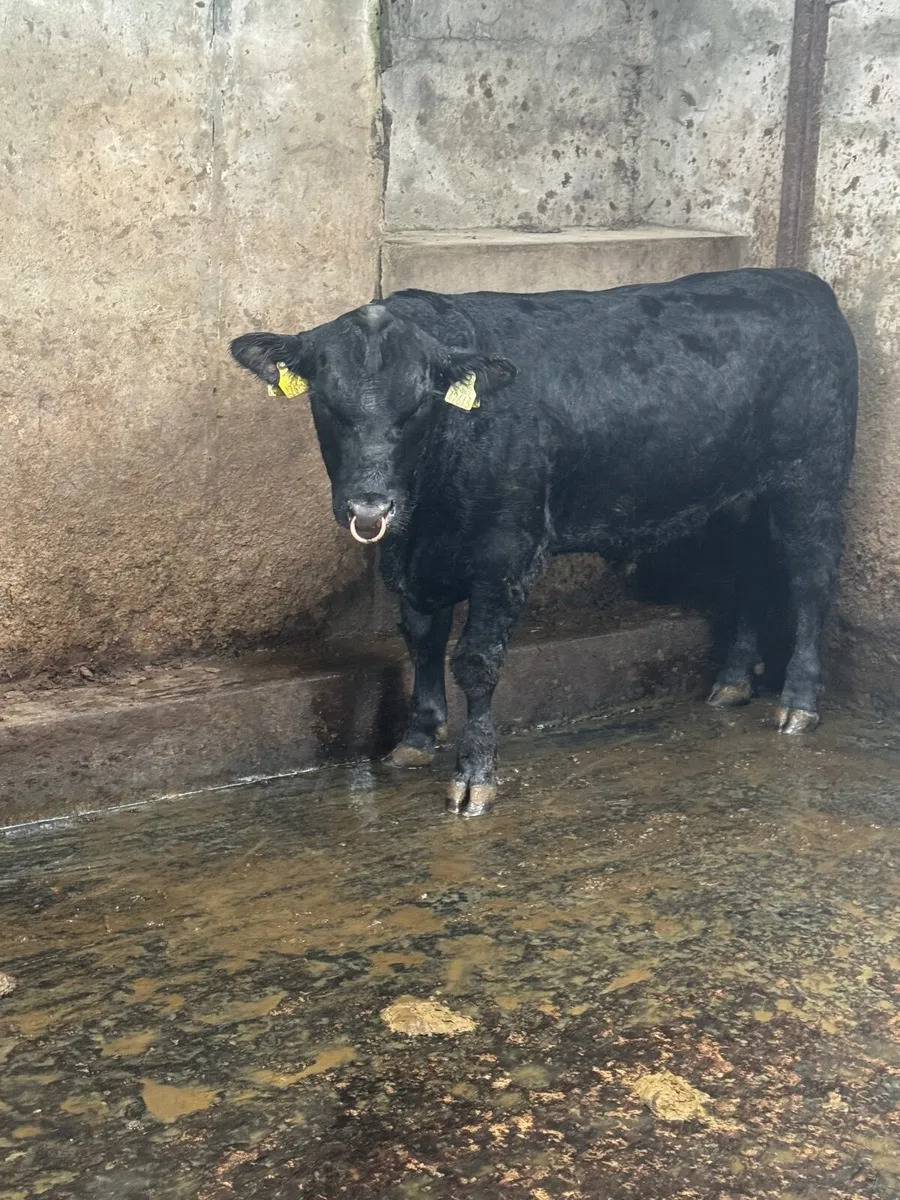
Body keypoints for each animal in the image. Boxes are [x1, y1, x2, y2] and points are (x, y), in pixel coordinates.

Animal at [231, 268, 858, 816]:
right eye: (326, 402)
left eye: (419, 405)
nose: (369, 506)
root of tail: (797, 279)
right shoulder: (412, 560)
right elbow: (422, 641)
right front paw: (417, 739)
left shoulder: (507, 552)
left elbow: (475, 661)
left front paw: (474, 777)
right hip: (736, 500)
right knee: (752, 573)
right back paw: (732, 682)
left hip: (814, 481)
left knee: (810, 581)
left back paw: (798, 704)